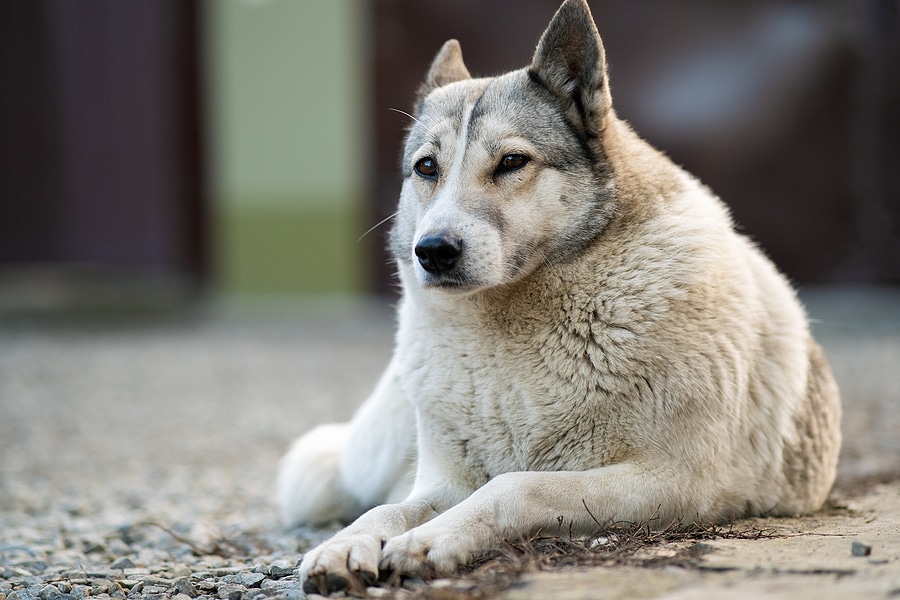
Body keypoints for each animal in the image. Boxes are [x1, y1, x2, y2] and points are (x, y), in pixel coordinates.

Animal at [276, 0, 844, 592]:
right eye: (426, 168)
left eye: (511, 162)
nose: (431, 251)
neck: (510, 326)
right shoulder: (444, 482)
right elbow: (390, 510)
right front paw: (345, 545)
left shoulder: (672, 482)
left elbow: (516, 485)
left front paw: (434, 540)